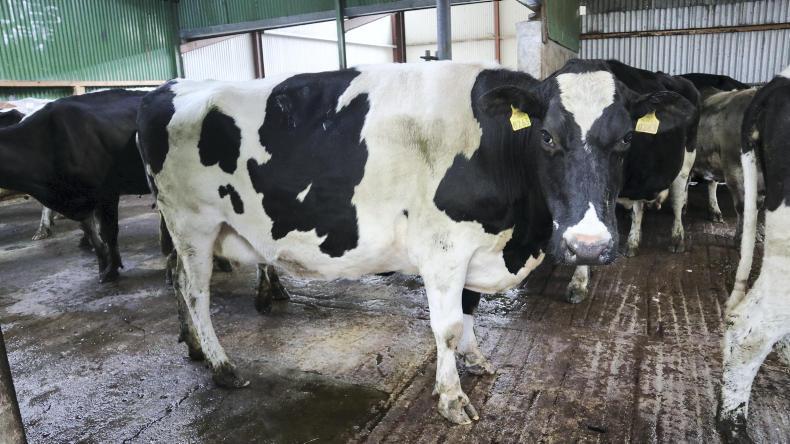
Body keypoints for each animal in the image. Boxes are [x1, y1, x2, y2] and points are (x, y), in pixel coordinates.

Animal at [0, 90, 150, 282]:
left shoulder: (106, 192)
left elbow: (109, 232)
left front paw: (111, 271)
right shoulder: (81, 197)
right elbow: (93, 233)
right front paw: (102, 265)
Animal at [566, 60, 701, 303]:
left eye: (624, 135)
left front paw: (578, 282)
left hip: (687, 159)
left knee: (678, 198)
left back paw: (677, 238)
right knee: (639, 207)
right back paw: (633, 242)